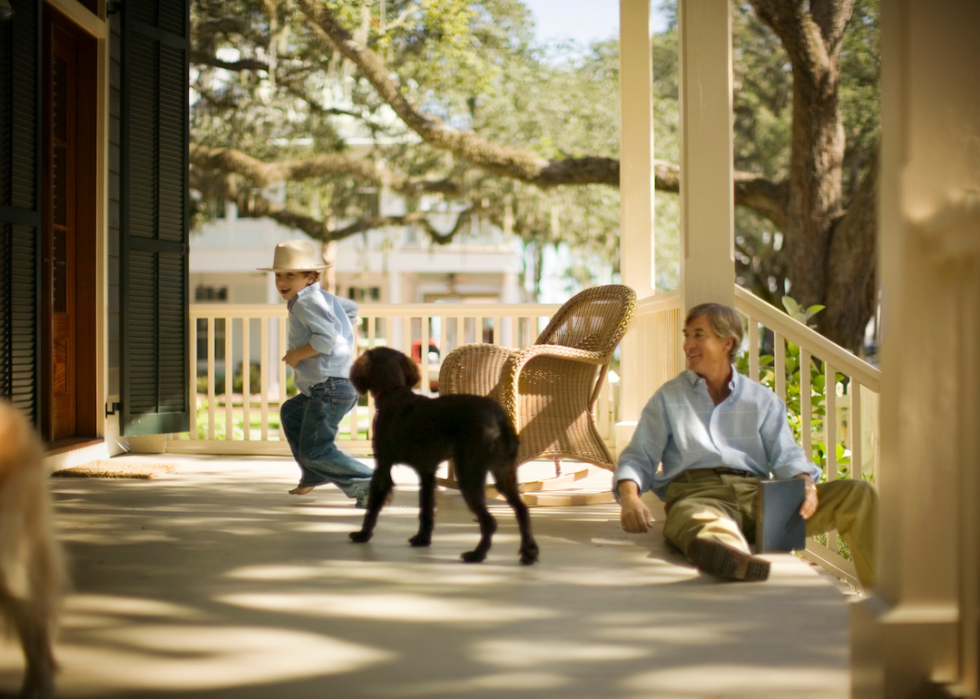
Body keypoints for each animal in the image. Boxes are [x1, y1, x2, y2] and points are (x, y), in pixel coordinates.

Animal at [348, 348, 540, 568]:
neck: (393, 392)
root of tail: (499, 418)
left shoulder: (383, 468)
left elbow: (372, 508)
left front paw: (363, 535)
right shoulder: (427, 473)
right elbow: (426, 510)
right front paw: (422, 539)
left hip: (469, 474)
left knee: (490, 521)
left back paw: (476, 555)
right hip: (504, 474)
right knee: (522, 510)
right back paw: (528, 553)